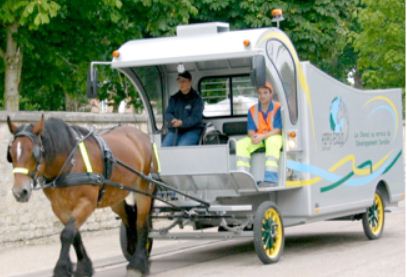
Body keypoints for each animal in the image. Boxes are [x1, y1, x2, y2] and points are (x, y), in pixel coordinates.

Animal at [6, 115, 156, 276]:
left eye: (34, 153)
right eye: (11, 154)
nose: (19, 192)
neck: (69, 163)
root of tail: (142, 136)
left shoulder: (86, 203)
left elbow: (67, 234)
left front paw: (61, 269)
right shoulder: (59, 208)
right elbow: (74, 235)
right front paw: (84, 267)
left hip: (143, 189)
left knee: (141, 223)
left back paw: (138, 263)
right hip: (115, 194)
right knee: (128, 217)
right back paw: (133, 249)